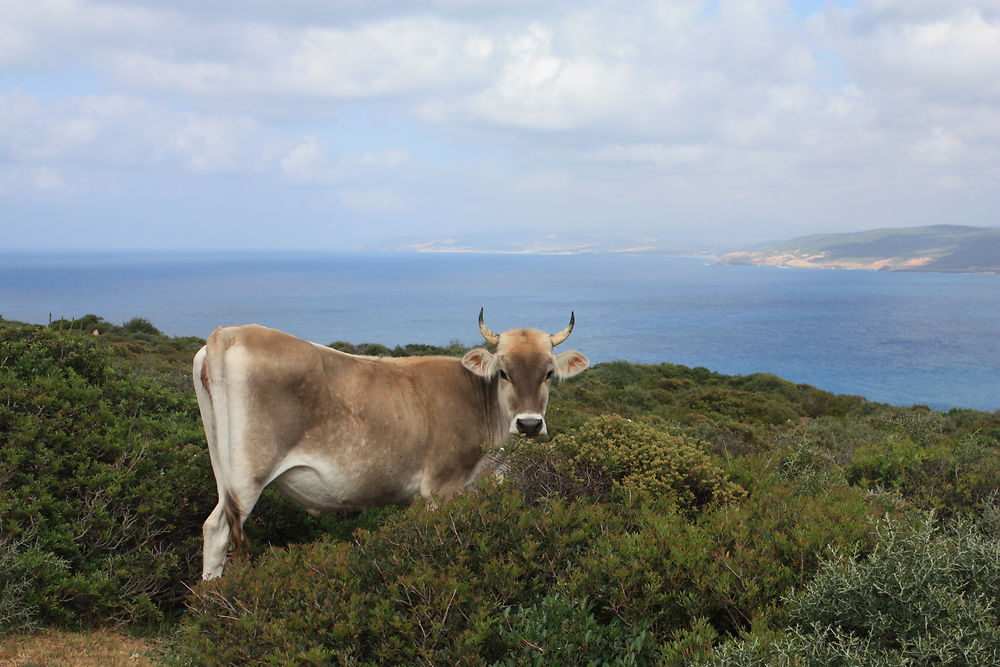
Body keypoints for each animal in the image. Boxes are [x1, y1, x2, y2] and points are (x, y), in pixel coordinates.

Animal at [191, 310, 588, 576]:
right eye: (503, 372)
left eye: (548, 373)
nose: (529, 423)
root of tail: (230, 333)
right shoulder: (441, 488)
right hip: (248, 475)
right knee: (220, 532)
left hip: (223, 471)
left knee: (212, 528)